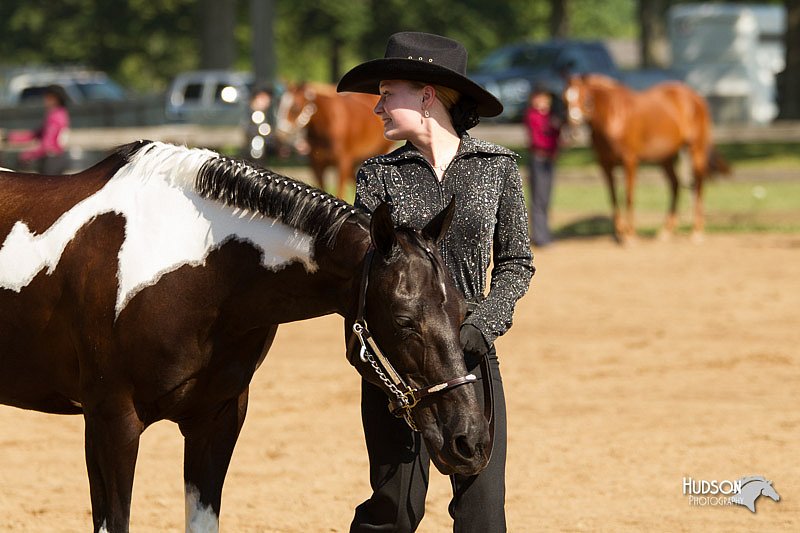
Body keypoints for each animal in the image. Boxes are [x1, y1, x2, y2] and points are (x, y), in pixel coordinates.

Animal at [564, 72, 732, 241]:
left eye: (587, 99)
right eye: (565, 99)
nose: (572, 133)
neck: (614, 116)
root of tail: (695, 97)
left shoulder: (630, 161)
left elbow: (629, 196)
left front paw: (630, 234)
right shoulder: (605, 164)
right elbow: (613, 196)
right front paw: (620, 231)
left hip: (696, 150)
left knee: (698, 184)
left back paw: (697, 231)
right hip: (666, 158)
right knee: (675, 185)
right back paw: (666, 230)